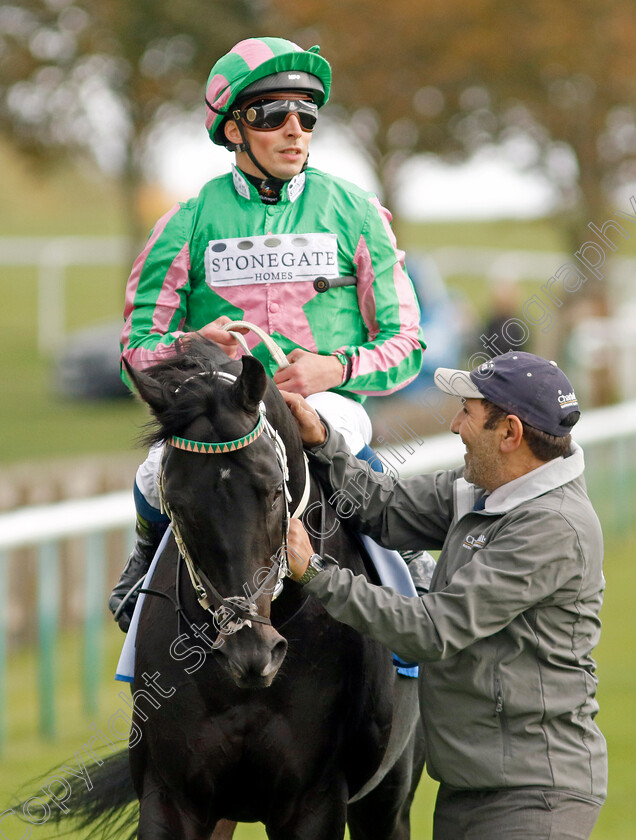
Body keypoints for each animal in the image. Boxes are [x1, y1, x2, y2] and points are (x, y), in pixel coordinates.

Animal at [39, 338, 424, 836]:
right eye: (176, 503)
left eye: (273, 490)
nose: (251, 652)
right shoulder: (172, 796)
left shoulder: (314, 802)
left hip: (389, 793)